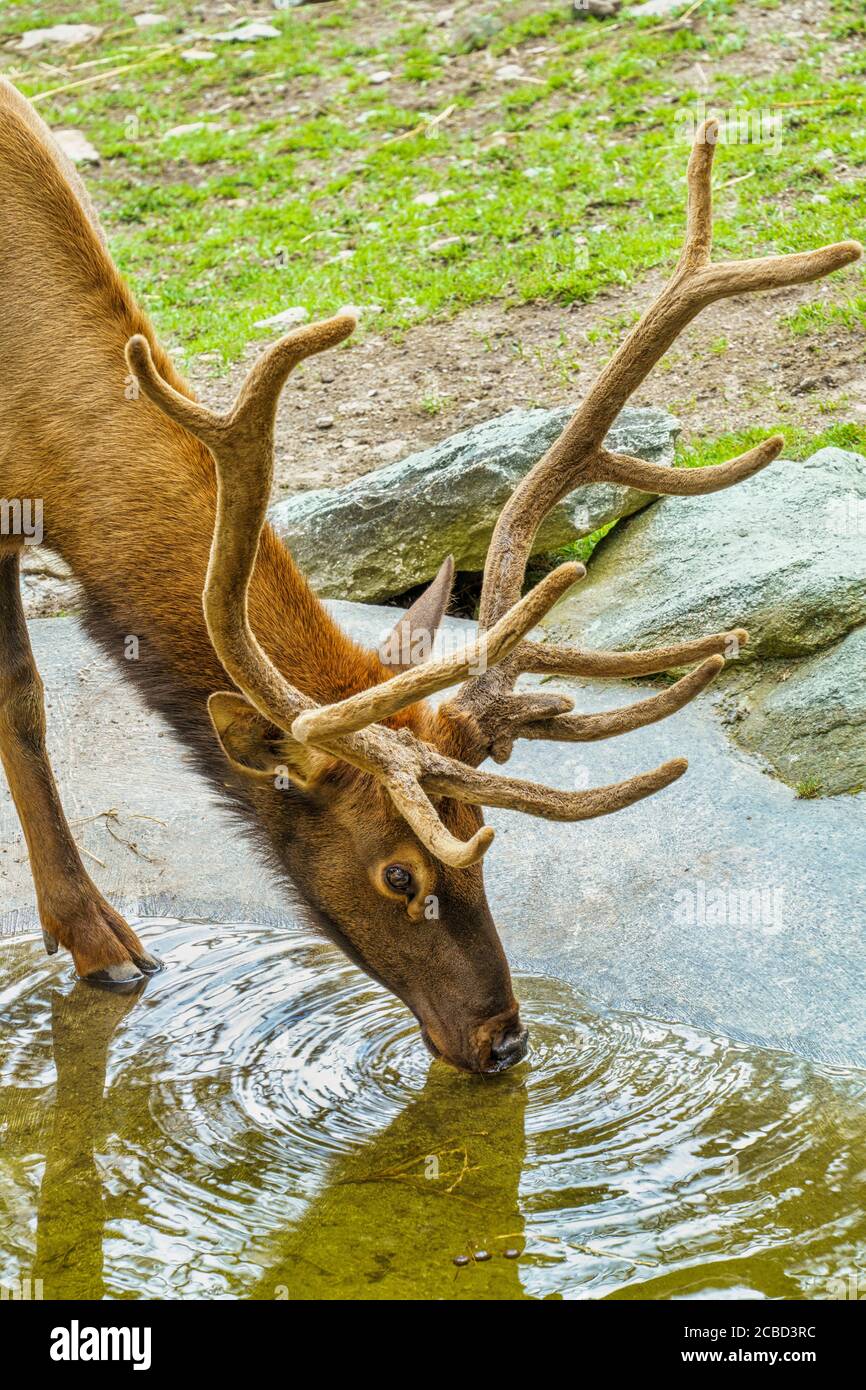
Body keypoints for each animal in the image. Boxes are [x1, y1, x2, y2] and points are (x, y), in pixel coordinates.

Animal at [0, 78, 861, 1073]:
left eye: (479, 844)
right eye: (400, 873)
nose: (504, 1040)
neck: (29, 436)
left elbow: (20, 700)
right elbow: (24, 702)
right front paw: (97, 941)